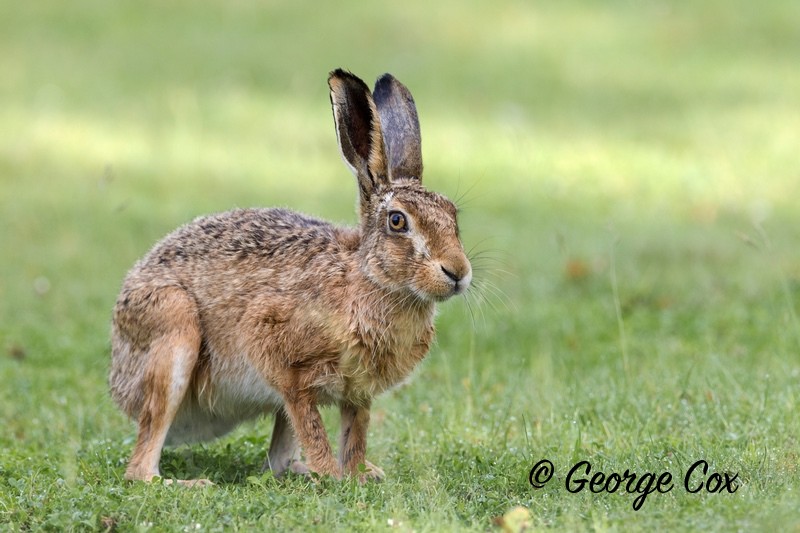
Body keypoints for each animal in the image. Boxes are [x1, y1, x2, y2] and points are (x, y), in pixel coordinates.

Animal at [109, 69, 472, 486]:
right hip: (172, 329)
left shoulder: (357, 393)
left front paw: (358, 474)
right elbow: (310, 422)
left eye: (453, 215)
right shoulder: (280, 357)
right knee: (140, 467)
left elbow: (355, 433)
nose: (458, 272)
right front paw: (333, 475)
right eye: (398, 221)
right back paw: (189, 484)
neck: (366, 278)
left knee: (278, 460)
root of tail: (117, 377)